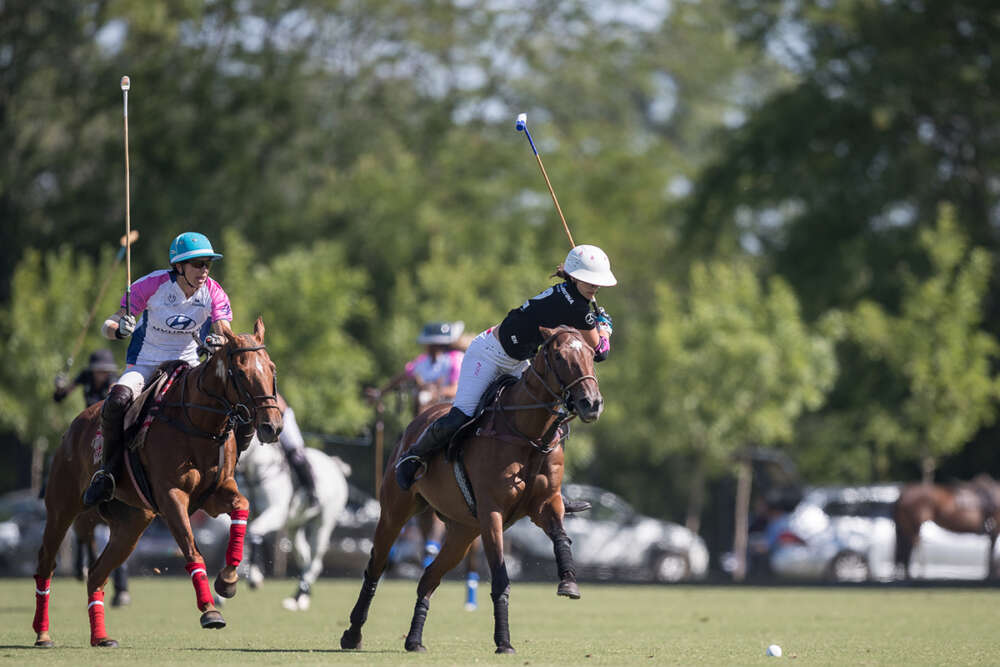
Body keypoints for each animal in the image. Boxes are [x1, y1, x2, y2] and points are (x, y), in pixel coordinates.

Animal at [31, 318, 282, 648]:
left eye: (271, 368)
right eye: (241, 372)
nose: (272, 427)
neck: (200, 422)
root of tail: (72, 427)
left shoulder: (215, 493)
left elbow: (243, 506)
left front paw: (227, 580)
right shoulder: (171, 496)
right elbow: (192, 550)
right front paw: (210, 611)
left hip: (132, 523)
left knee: (96, 573)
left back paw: (101, 637)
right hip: (62, 507)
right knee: (46, 564)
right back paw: (43, 633)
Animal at [238, 438, 352, 612]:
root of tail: (334, 464)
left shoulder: (277, 512)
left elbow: (255, 531)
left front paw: (254, 578)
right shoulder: (250, 516)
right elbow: (250, 536)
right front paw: (254, 575)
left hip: (323, 524)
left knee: (316, 562)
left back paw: (299, 596)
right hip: (294, 526)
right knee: (304, 557)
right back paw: (300, 597)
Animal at [342, 326, 600, 656]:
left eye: (592, 353)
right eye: (558, 356)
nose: (591, 403)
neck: (528, 433)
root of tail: (415, 423)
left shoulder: (545, 504)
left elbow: (561, 537)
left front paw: (568, 583)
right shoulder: (492, 513)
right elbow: (500, 577)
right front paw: (504, 642)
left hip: (463, 532)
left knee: (428, 577)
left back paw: (414, 640)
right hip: (394, 513)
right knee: (376, 566)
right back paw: (352, 634)